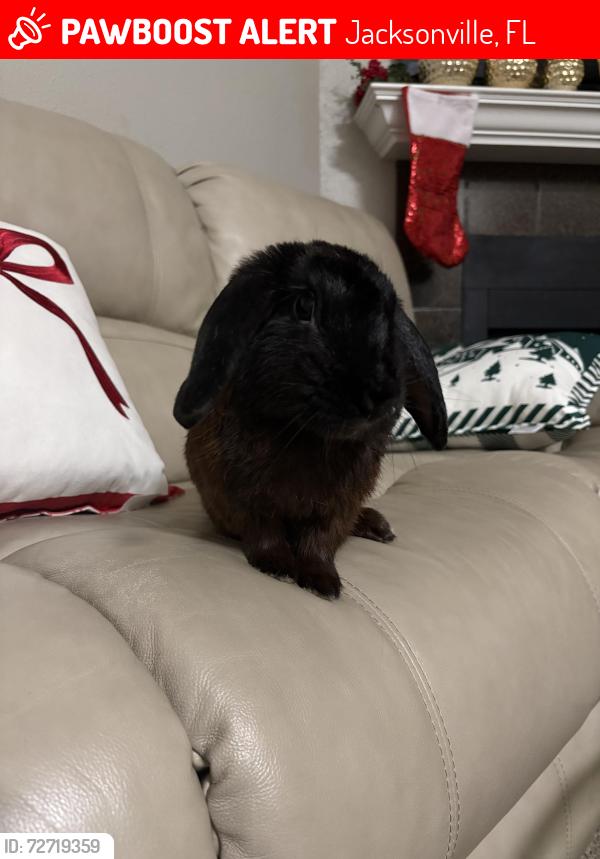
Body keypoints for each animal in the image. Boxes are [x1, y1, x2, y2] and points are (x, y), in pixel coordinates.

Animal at [174, 240, 447, 599]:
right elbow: (265, 532)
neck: (307, 436)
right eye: (304, 306)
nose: (378, 397)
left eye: (389, 320)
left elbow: (320, 541)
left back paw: (378, 526)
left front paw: (323, 582)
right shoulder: (248, 499)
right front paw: (277, 566)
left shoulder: (338, 506)